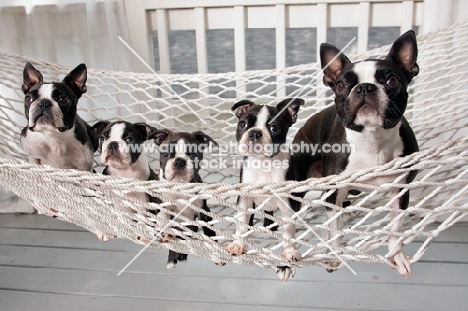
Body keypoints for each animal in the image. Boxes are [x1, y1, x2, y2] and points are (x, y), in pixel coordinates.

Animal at [150, 130, 218, 270]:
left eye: (193, 155)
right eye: (166, 154)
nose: (180, 161)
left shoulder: (204, 211)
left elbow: (210, 231)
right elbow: (164, 217)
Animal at [226, 98, 304, 282]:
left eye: (275, 128)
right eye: (243, 124)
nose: (255, 133)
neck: (263, 164)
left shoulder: (287, 203)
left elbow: (288, 230)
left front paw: (289, 252)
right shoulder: (245, 199)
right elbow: (241, 223)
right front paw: (238, 244)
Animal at [292, 31, 420, 278]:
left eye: (391, 81)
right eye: (341, 85)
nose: (365, 87)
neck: (372, 141)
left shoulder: (400, 191)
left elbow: (396, 227)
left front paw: (397, 255)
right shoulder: (333, 190)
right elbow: (333, 230)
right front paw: (334, 255)